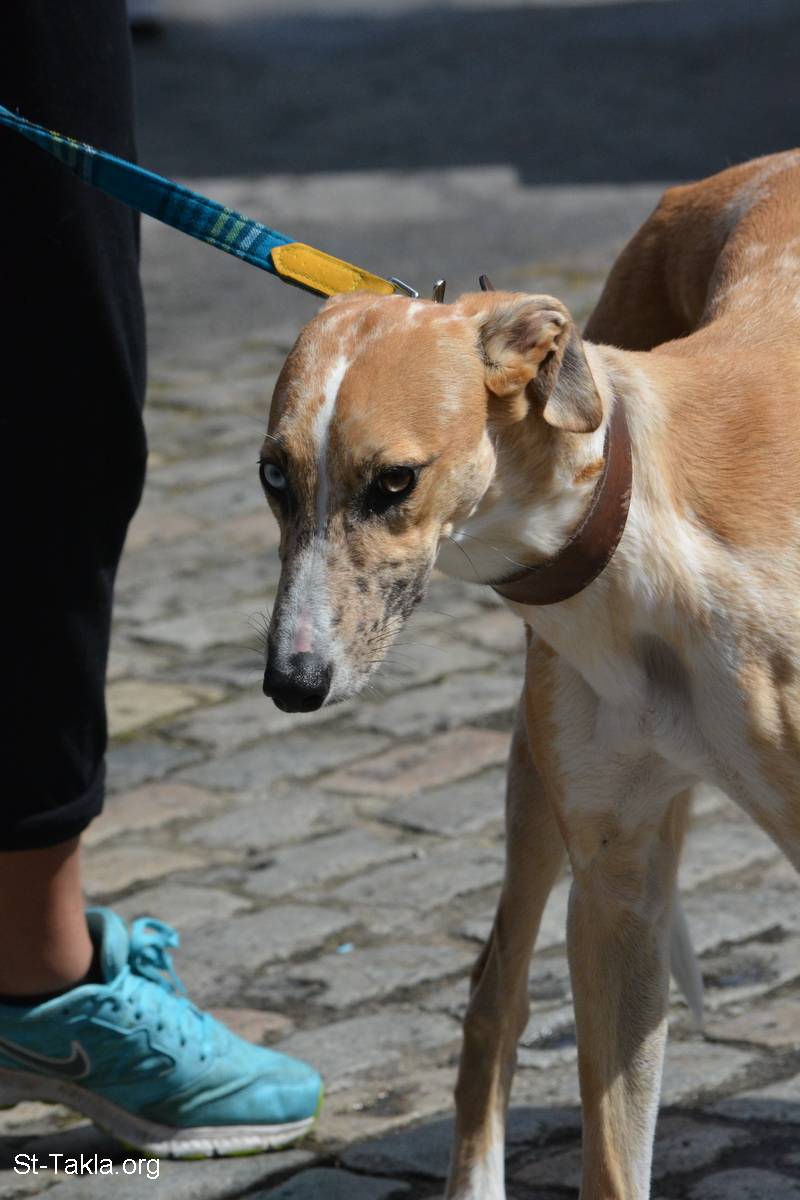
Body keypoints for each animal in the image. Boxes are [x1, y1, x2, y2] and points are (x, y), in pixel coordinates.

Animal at [260, 149, 800, 1199]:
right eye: (273, 475)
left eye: (394, 480)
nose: (292, 680)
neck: (649, 538)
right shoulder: (616, 888)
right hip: (537, 784)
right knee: (493, 992)